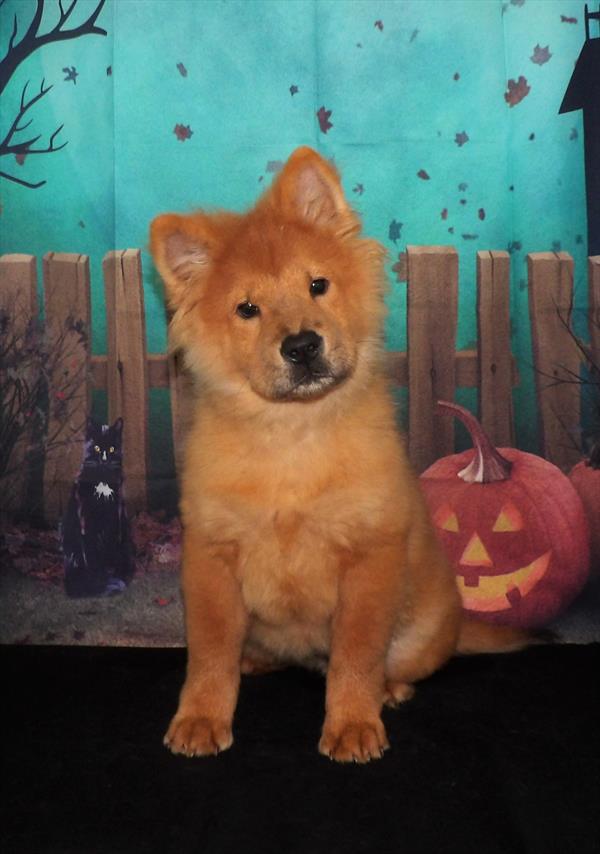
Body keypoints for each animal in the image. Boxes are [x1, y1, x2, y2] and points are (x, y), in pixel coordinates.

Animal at [151, 145, 528, 764]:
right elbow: (208, 654)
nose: (302, 346)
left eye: (318, 284)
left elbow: (355, 656)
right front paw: (201, 718)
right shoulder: (210, 555)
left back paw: (390, 691)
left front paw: (352, 724)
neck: (293, 436)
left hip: (423, 629)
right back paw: (256, 660)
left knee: (390, 664)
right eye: (247, 308)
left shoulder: (368, 557)